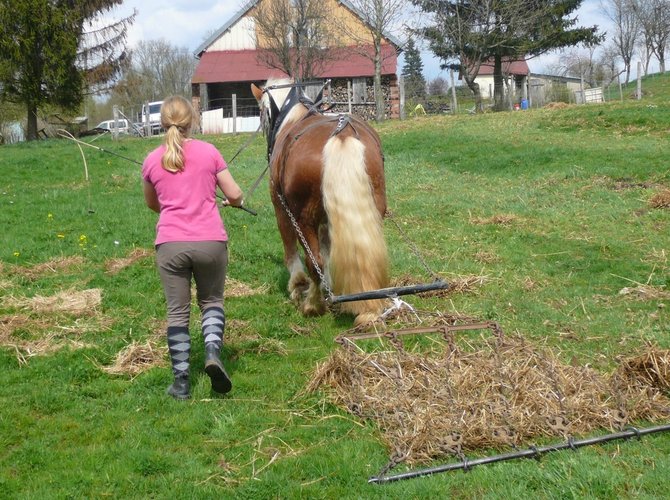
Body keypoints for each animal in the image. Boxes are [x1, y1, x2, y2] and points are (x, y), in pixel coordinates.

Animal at [252, 78, 388, 326]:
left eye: (261, 112)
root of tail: (341, 135)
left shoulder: (281, 208)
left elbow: (292, 249)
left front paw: (297, 286)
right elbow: (327, 250)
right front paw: (330, 285)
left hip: (303, 218)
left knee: (313, 261)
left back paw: (312, 304)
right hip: (373, 209)